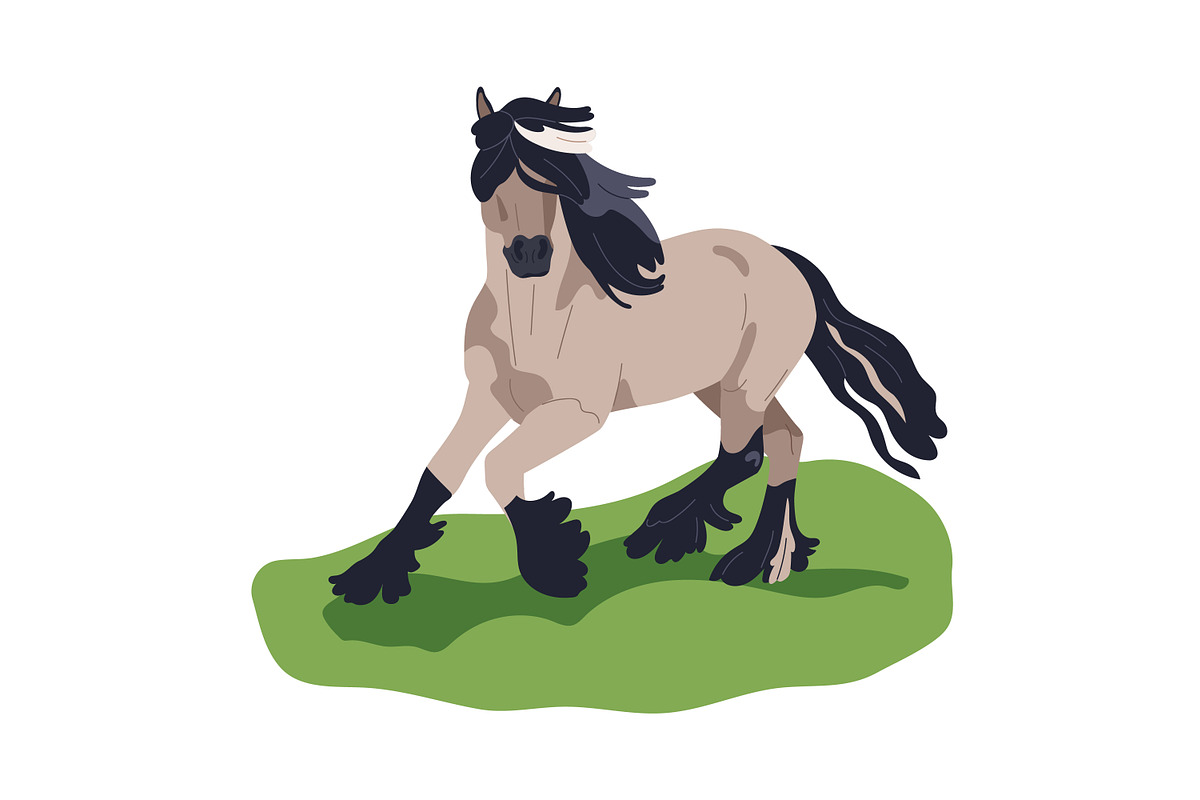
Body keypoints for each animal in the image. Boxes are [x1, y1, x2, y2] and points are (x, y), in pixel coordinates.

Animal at [329, 87, 946, 603]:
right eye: (489, 168)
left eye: (555, 175)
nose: (530, 254)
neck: (532, 318)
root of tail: (782, 258)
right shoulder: (486, 398)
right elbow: (438, 474)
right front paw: (370, 576)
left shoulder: (579, 413)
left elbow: (498, 466)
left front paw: (552, 563)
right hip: (722, 383)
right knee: (784, 440)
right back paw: (764, 559)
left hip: (749, 380)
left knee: (744, 451)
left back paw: (671, 530)